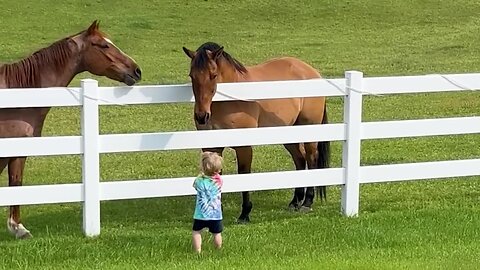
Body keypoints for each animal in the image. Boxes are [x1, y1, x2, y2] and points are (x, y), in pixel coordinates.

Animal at [0, 20, 142, 237]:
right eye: (104, 45)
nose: (136, 70)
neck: (18, 95)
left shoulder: (17, 151)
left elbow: (16, 183)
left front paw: (18, 228)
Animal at [183, 42, 330, 223]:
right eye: (192, 76)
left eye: (213, 75)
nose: (202, 116)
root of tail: (311, 71)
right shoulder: (212, 147)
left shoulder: (244, 147)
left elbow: (244, 174)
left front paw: (245, 213)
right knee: (300, 160)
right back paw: (295, 201)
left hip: (309, 131)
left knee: (311, 159)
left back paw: (307, 202)